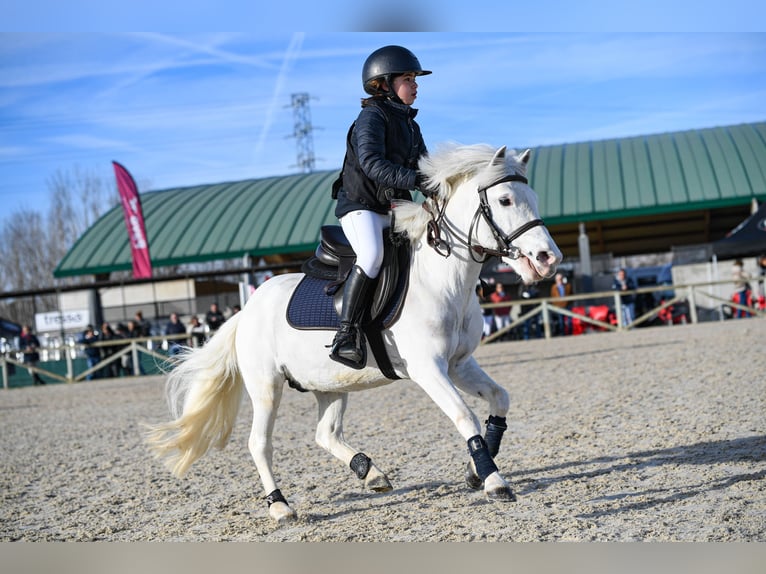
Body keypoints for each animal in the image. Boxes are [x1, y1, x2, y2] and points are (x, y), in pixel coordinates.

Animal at [147, 142, 560, 524]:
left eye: (534, 198)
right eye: (505, 200)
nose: (548, 259)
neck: (440, 279)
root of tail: (245, 310)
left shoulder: (459, 364)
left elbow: (499, 401)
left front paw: (476, 470)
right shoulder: (428, 370)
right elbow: (465, 416)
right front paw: (494, 481)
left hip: (329, 383)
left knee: (325, 433)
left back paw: (370, 472)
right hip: (266, 385)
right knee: (259, 443)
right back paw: (280, 506)